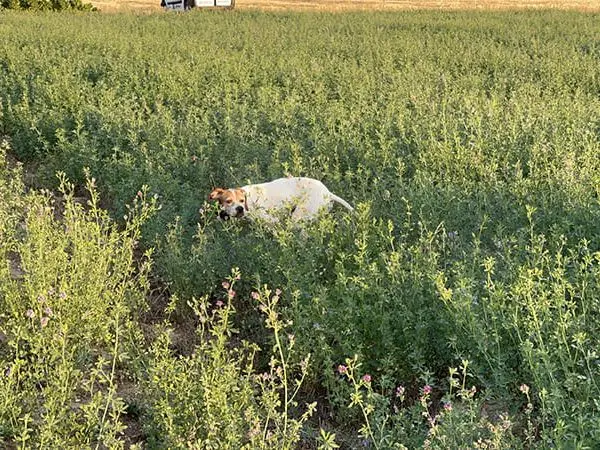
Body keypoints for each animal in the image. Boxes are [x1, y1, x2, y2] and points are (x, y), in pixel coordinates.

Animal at [209, 178, 354, 223]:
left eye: (241, 200)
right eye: (228, 201)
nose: (240, 208)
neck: (248, 201)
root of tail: (328, 193)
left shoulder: (272, 220)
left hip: (298, 216)